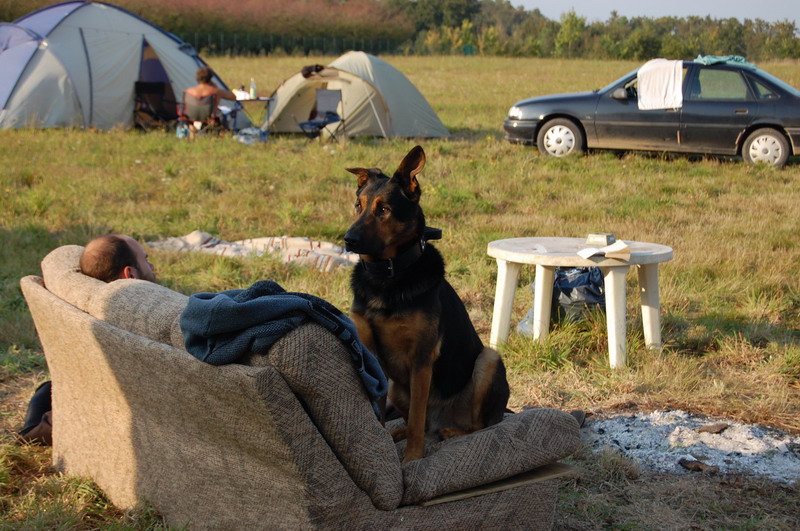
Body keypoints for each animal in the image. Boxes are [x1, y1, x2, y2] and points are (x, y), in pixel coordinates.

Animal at [342, 144, 506, 462]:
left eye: (384, 209)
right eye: (358, 205)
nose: (348, 239)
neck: (387, 276)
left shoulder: (421, 358)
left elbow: (418, 417)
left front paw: (412, 458)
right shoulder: (371, 354)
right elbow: (382, 413)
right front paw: (386, 443)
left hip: (489, 361)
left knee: (476, 426)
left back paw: (450, 432)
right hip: (397, 389)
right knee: (415, 421)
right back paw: (399, 434)